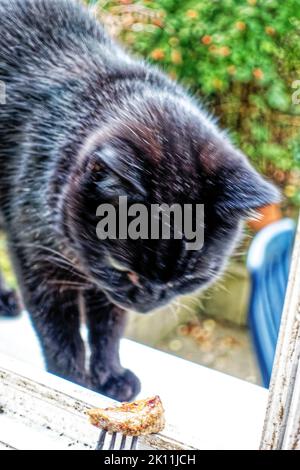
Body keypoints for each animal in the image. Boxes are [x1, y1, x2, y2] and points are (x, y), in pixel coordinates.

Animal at [0, 0, 278, 400]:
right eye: (121, 266)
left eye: (188, 278)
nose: (148, 300)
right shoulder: (38, 256)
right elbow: (61, 331)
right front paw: (72, 383)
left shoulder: (101, 285)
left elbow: (108, 323)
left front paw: (110, 376)